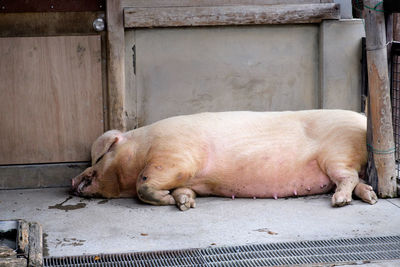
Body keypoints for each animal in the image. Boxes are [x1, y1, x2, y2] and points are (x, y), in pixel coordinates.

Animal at [71, 110, 378, 211]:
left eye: (100, 155)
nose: (73, 180)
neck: (141, 149)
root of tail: (363, 119)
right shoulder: (186, 176)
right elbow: (182, 189)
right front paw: (186, 203)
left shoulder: (174, 156)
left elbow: (143, 185)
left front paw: (171, 201)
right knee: (358, 181)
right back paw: (372, 198)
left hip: (337, 154)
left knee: (348, 177)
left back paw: (340, 202)